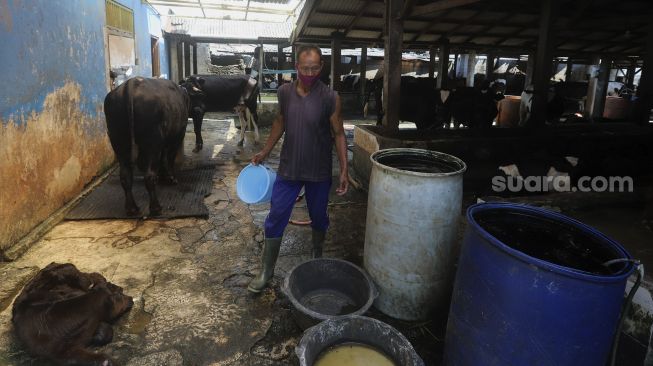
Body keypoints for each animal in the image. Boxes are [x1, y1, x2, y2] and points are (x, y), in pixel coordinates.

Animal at [105, 76, 194, 216]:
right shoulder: (178, 135)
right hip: (153, 140)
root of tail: (131, 84)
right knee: (149, 176)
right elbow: (169, 157)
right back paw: (156, 208)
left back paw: (132, 208)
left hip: (118, 140)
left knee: (125, 176)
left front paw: (164, 176)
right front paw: (171, 178)